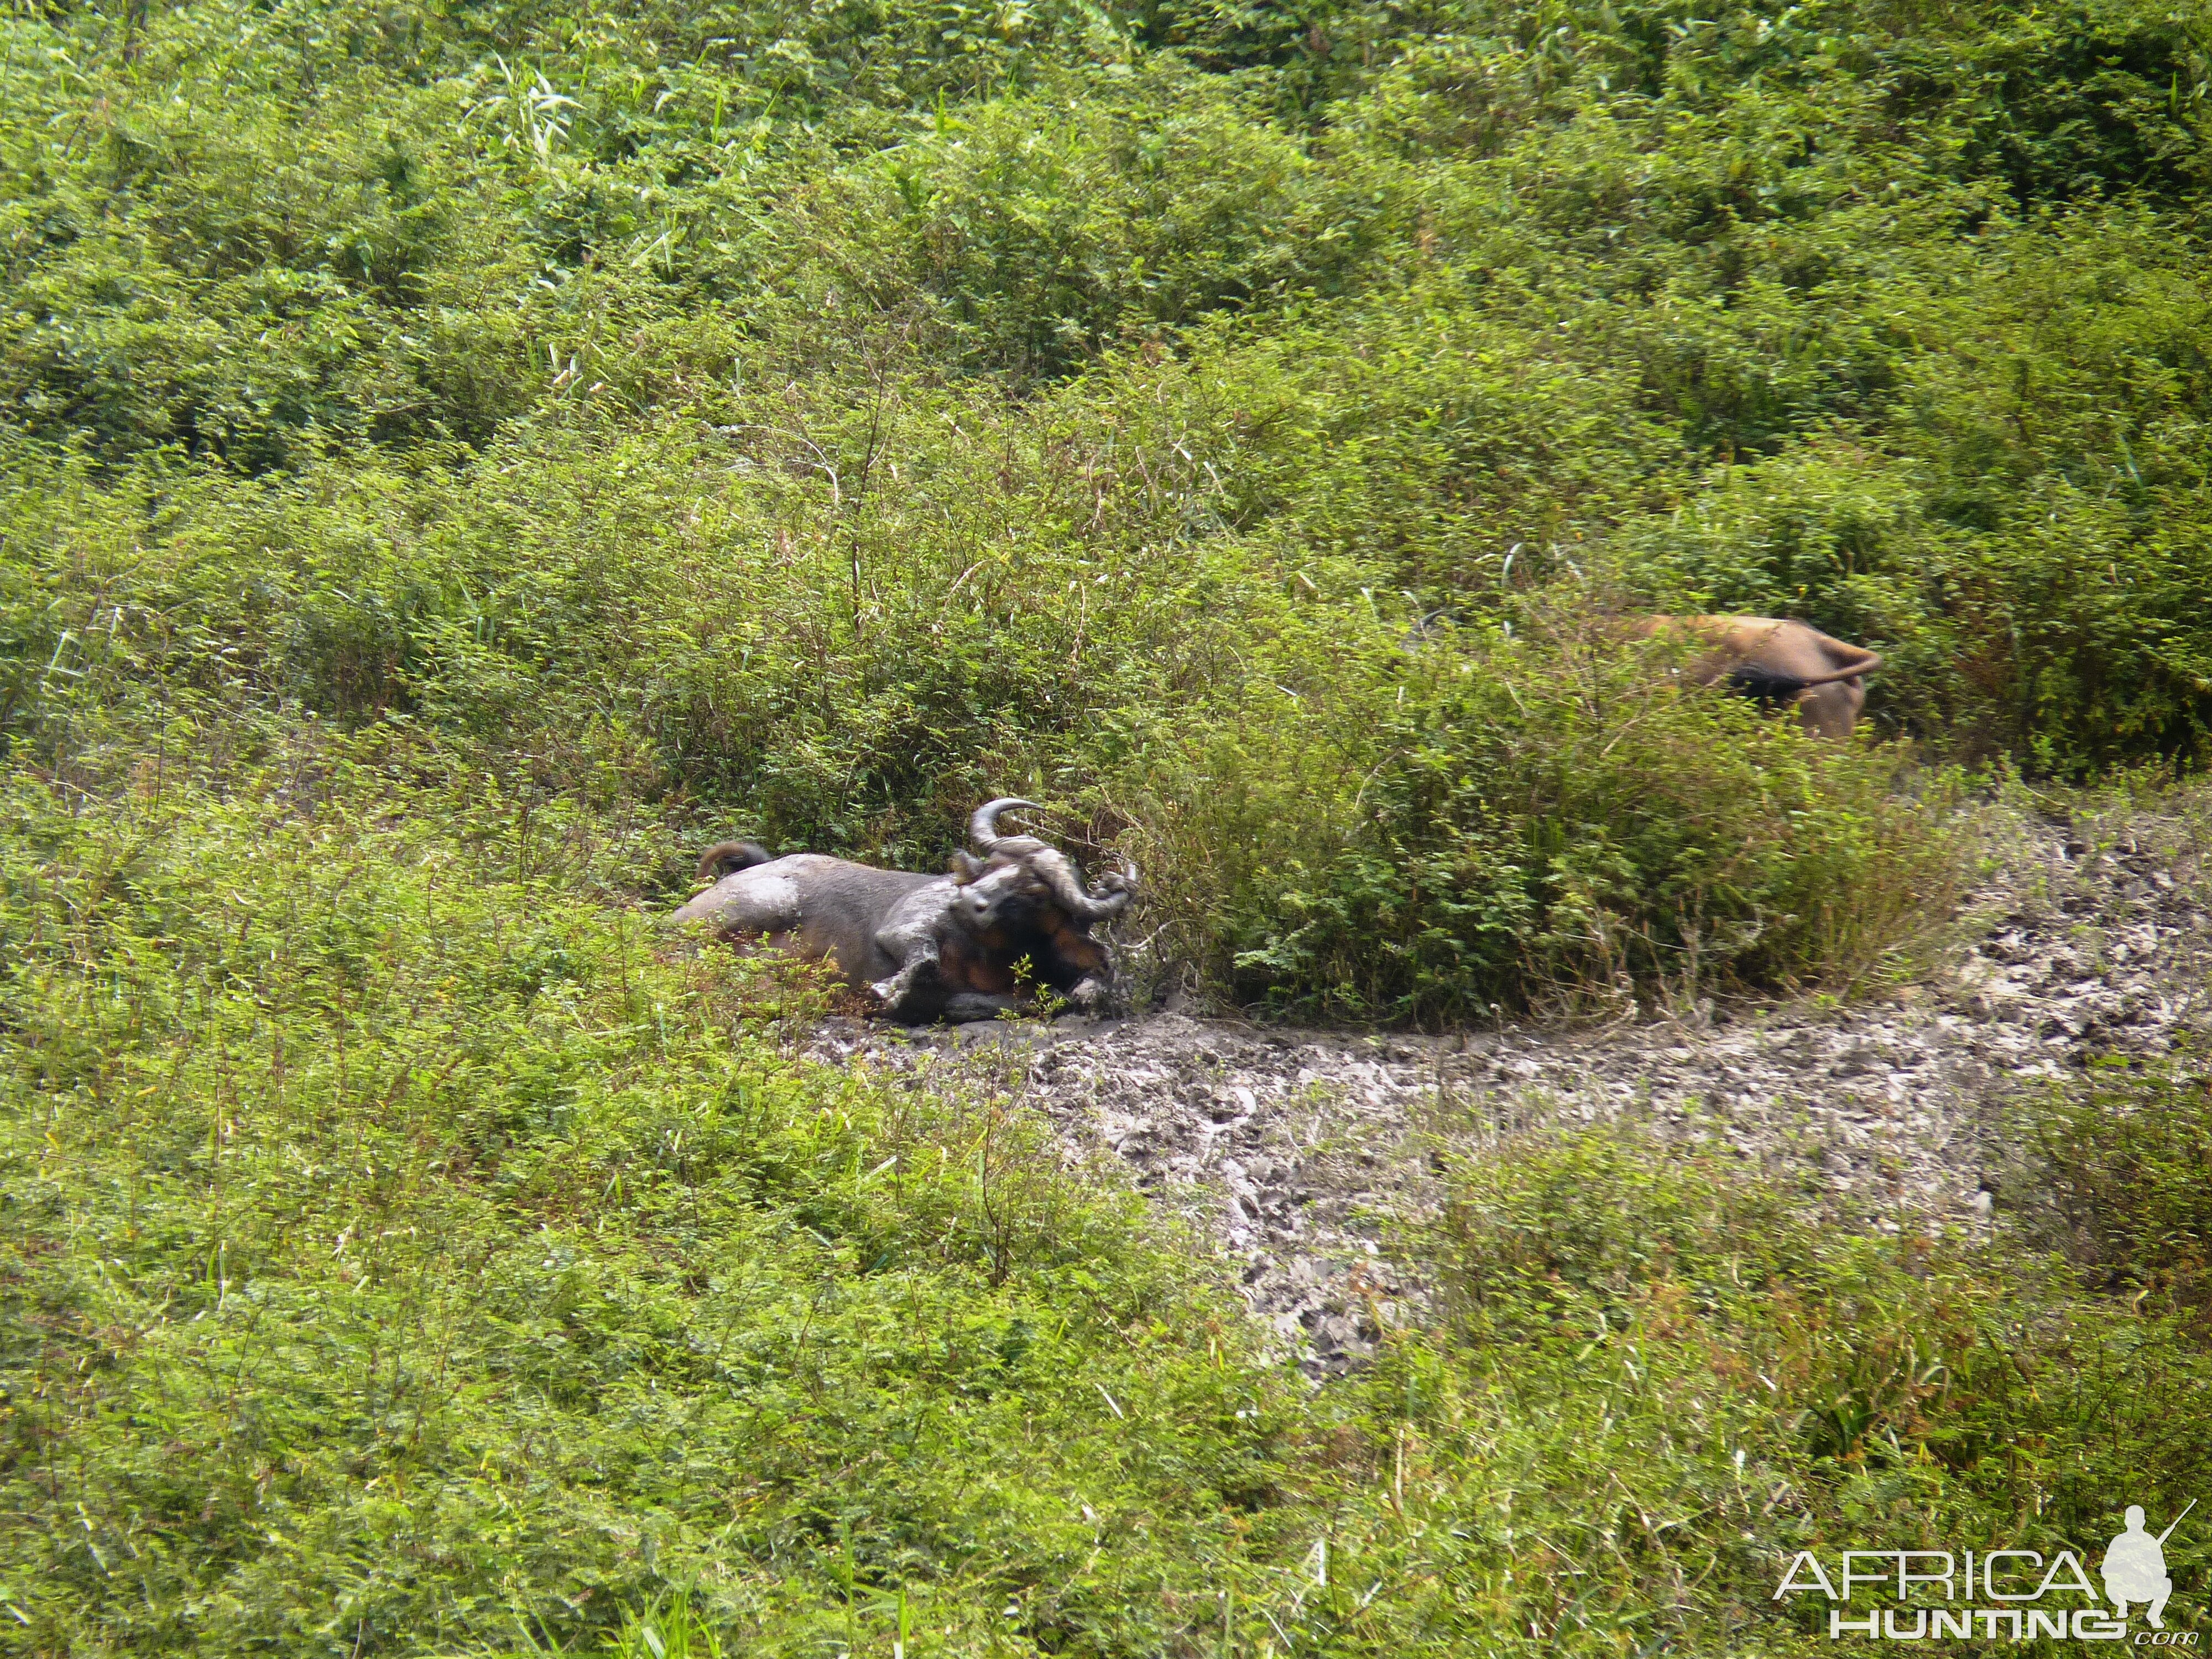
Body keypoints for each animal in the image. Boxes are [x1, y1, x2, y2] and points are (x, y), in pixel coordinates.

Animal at [664, 801, 1133, 1022]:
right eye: (993, 867)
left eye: (1035, 892)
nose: (966, 902)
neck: (984, 955)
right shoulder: (904, 926)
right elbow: (921, 957)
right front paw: (888, 990)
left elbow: (1043, 1000)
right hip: (759, 905)